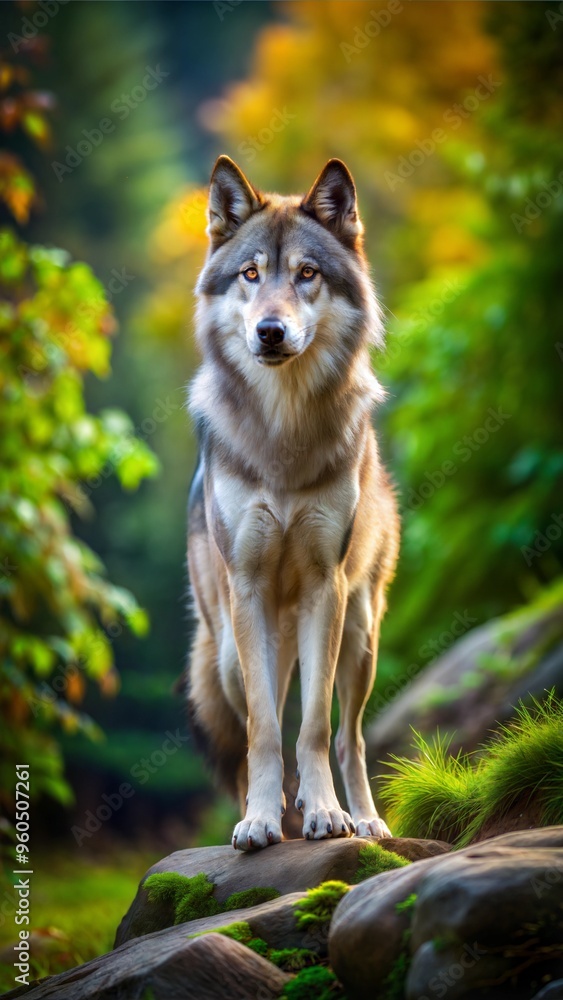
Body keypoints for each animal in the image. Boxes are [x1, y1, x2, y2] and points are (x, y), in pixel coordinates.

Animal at [187, 155, 399, 850]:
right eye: (250, 274)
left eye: (307, 274)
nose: (271, 331)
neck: (282, 434)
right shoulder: (249, 588)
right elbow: (263, 731)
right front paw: (258, 822)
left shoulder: (323, 588)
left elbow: (312, 729)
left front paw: (328, 815)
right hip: (231, 653)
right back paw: (271, 813)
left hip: (360, 634)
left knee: (350, 735)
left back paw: (366, 821)